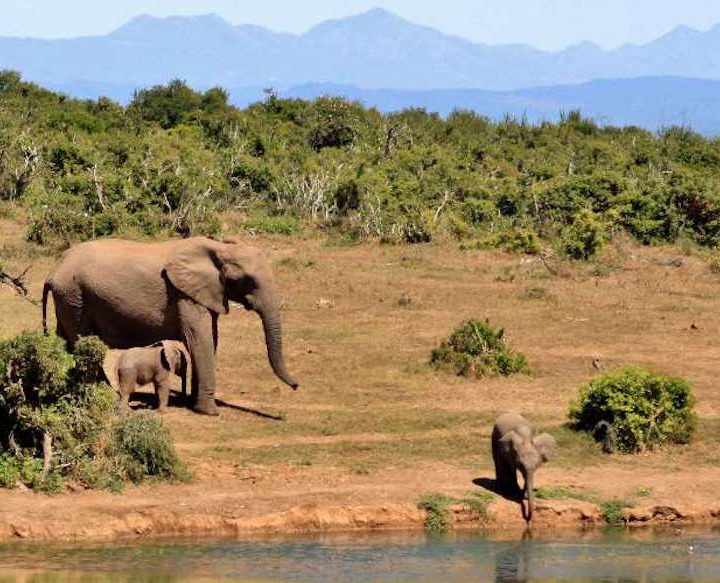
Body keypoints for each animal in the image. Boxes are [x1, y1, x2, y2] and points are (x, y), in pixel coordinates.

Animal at [42, 236, 298, 416]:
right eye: (248, 281)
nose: (296, 386)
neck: (218, 248)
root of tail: (53, 271)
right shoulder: (185, 295)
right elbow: (200, 340)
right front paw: (210, 412)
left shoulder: (205, 293)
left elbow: (210, 339)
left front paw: (194, 404)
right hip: (75, 296)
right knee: (82, 343)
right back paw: (103, 393)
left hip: (68, 298)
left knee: (66, 341)